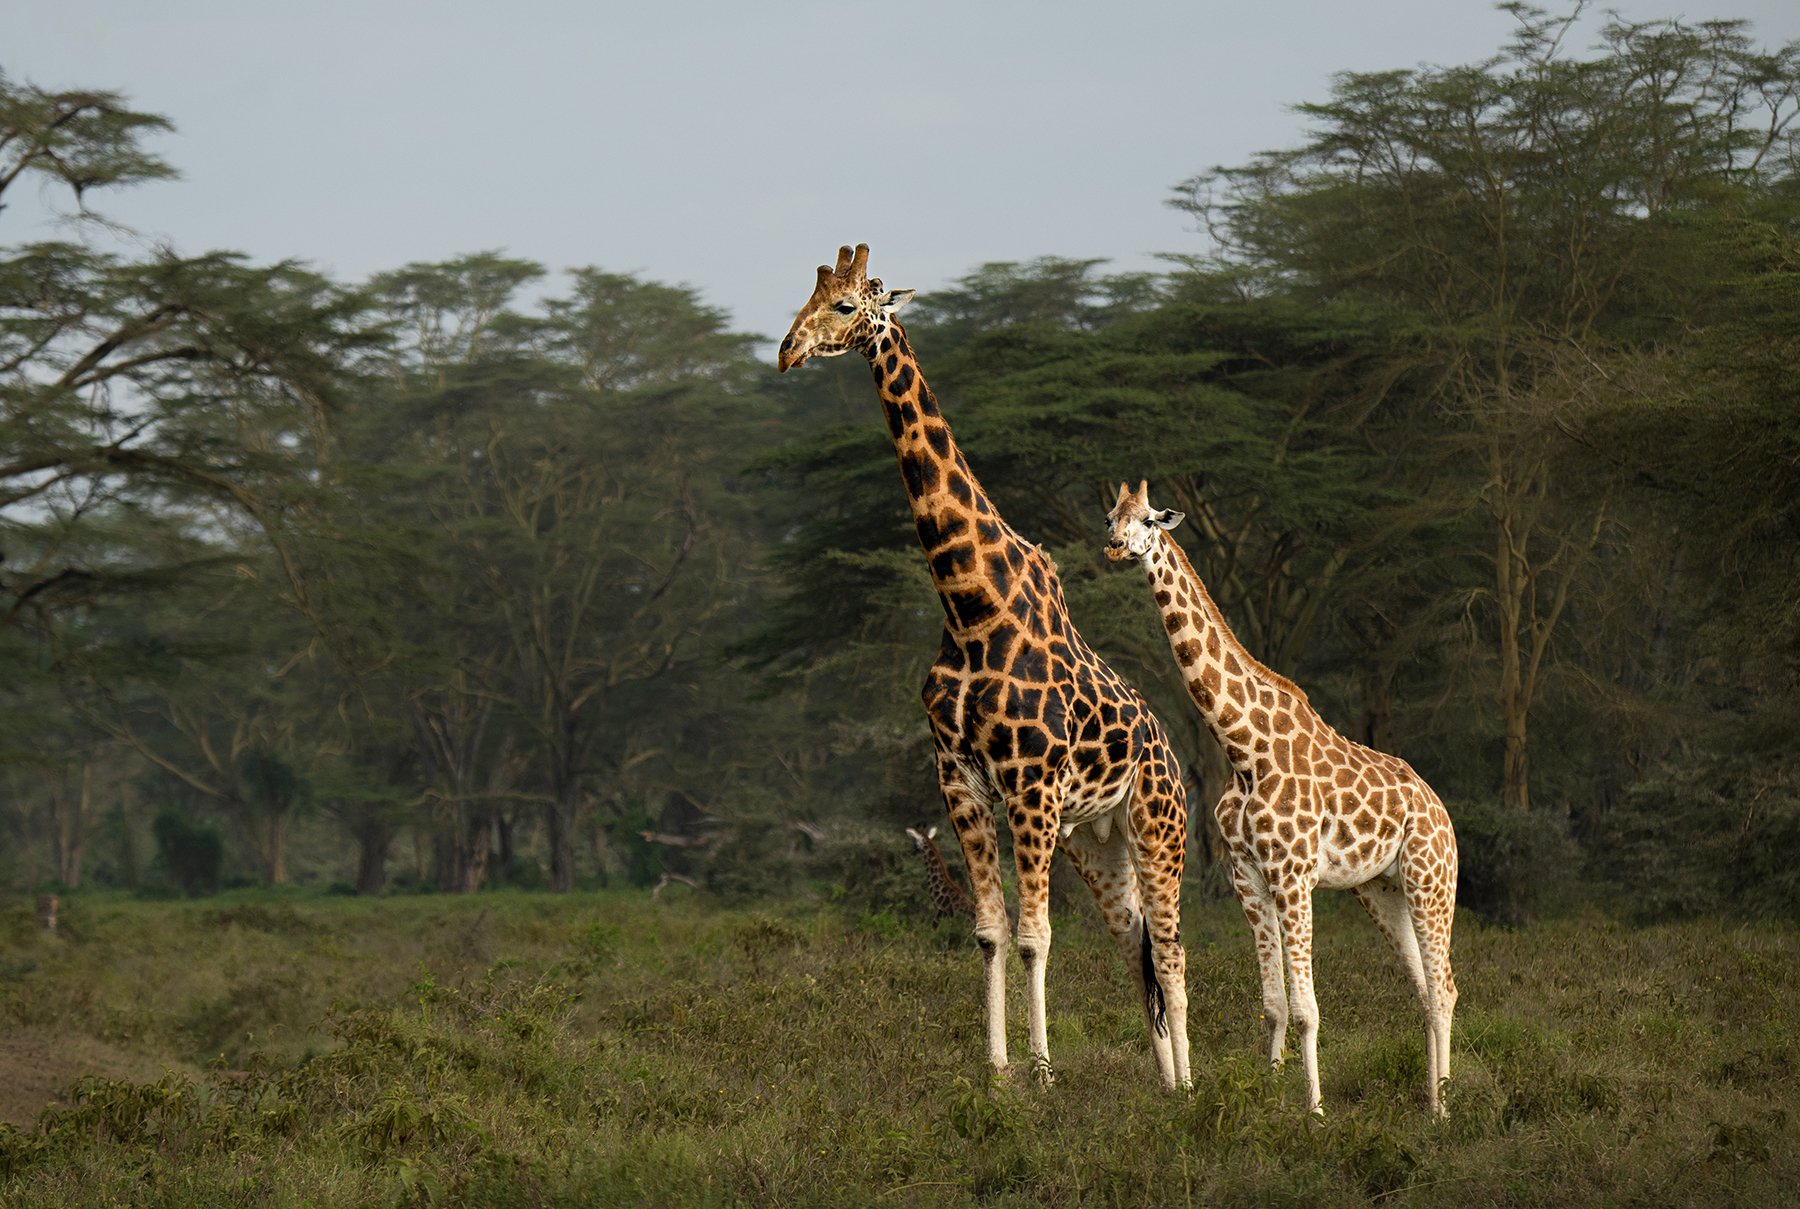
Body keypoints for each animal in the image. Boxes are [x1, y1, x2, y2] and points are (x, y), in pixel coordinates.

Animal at [780, 244, 1192, 1089]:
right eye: (806, 295)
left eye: (847, 306)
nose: (786, 350)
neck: (971, 604)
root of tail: (1169, 751)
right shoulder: (960, 777)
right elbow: (991, 929)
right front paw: (999, 1073)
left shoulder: (1030, 784)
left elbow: (1036, 933)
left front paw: (1043, 1072)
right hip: (1099, 840)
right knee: (1135, 944)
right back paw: (1166, 1086)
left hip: (1155, 828)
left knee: (1170, 954)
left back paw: (1197, 1087)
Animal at [1103, 480, 1458, 1116]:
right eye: (1109, 517)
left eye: (1147, 519)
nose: (1117, 547)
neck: (1244, 747)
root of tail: (1442, 814)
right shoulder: (1248, 874)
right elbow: (1273, 1005)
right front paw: (1271, 1103)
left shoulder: (1293, 876)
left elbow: (1307, 1010)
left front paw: (1314, 1113)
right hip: (1382, 890)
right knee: (1424, 987)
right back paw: (1428, 1101)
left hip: (1431, 880)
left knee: (1445, 988)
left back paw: (1444, 1111)